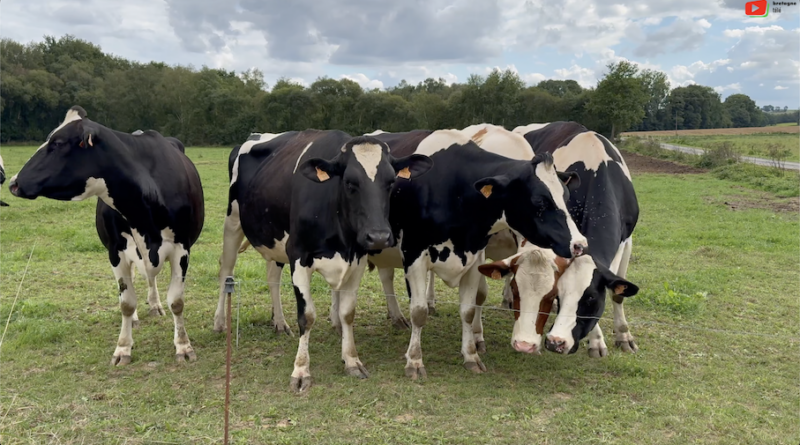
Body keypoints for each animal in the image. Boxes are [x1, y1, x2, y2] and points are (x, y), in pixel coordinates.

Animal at [10, 106, 205, 364]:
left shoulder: (182, 249)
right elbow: (127, 302)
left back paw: (155, 306)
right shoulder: (116, 250)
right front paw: (123, 347)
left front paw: (183, 346)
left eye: (57, 143)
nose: (13, 182)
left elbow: (177, 301)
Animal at [231, 129, 432, 392]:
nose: (379, 236)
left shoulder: (356, 260)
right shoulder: (298, 257)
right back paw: (220, 323)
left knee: (272, 277)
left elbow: (348, 313)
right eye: (349, 182)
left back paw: (280, 322)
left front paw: (352, 360)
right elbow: (306, 316)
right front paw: (301, 370)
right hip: (232, 224)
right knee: (225, 268)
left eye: (391, 182)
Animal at [368, 129, 588, 378]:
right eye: (540, 201)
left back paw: (395, 316)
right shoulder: (414, 256)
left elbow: (468, 310)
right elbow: (419, 311)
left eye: (566, 196)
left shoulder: (473, 257)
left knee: (385, 276)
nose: (579, 244)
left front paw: (471, 355)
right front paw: (414, 361)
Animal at [484, 121, 640, 358]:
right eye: (559, 295)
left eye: (591, 299)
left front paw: (624, 336)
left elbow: (618, 294)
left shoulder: (626, 240)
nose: (555, 342)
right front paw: (597, 341)